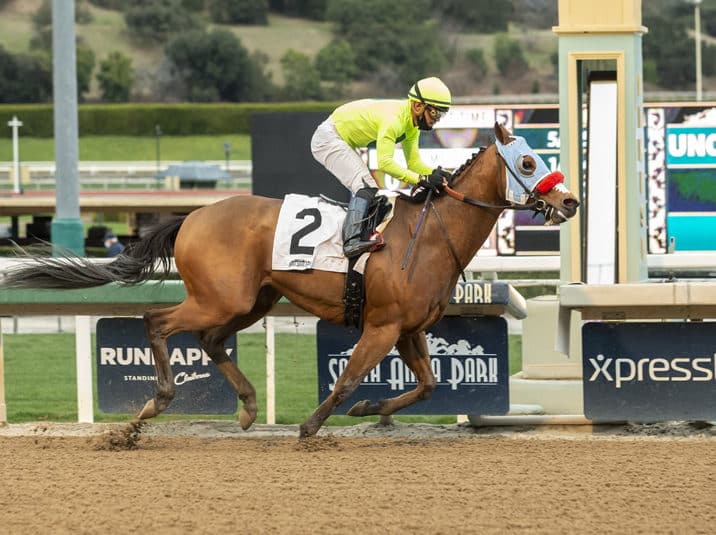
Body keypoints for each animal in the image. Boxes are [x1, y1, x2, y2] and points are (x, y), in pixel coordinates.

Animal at [0, 123, 580, 438]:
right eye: (529, 162)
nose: (571, 201)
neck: (431, 235)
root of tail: (192, 215)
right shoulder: (383, 326)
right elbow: (348, 378)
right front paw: (310, 427)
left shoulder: (410, 328)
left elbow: (427, 385)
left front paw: (370, 410)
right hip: (221, 297)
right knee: (157, 321)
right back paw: (155, 403)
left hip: (254, 299)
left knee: (209, 339)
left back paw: (247, 407)